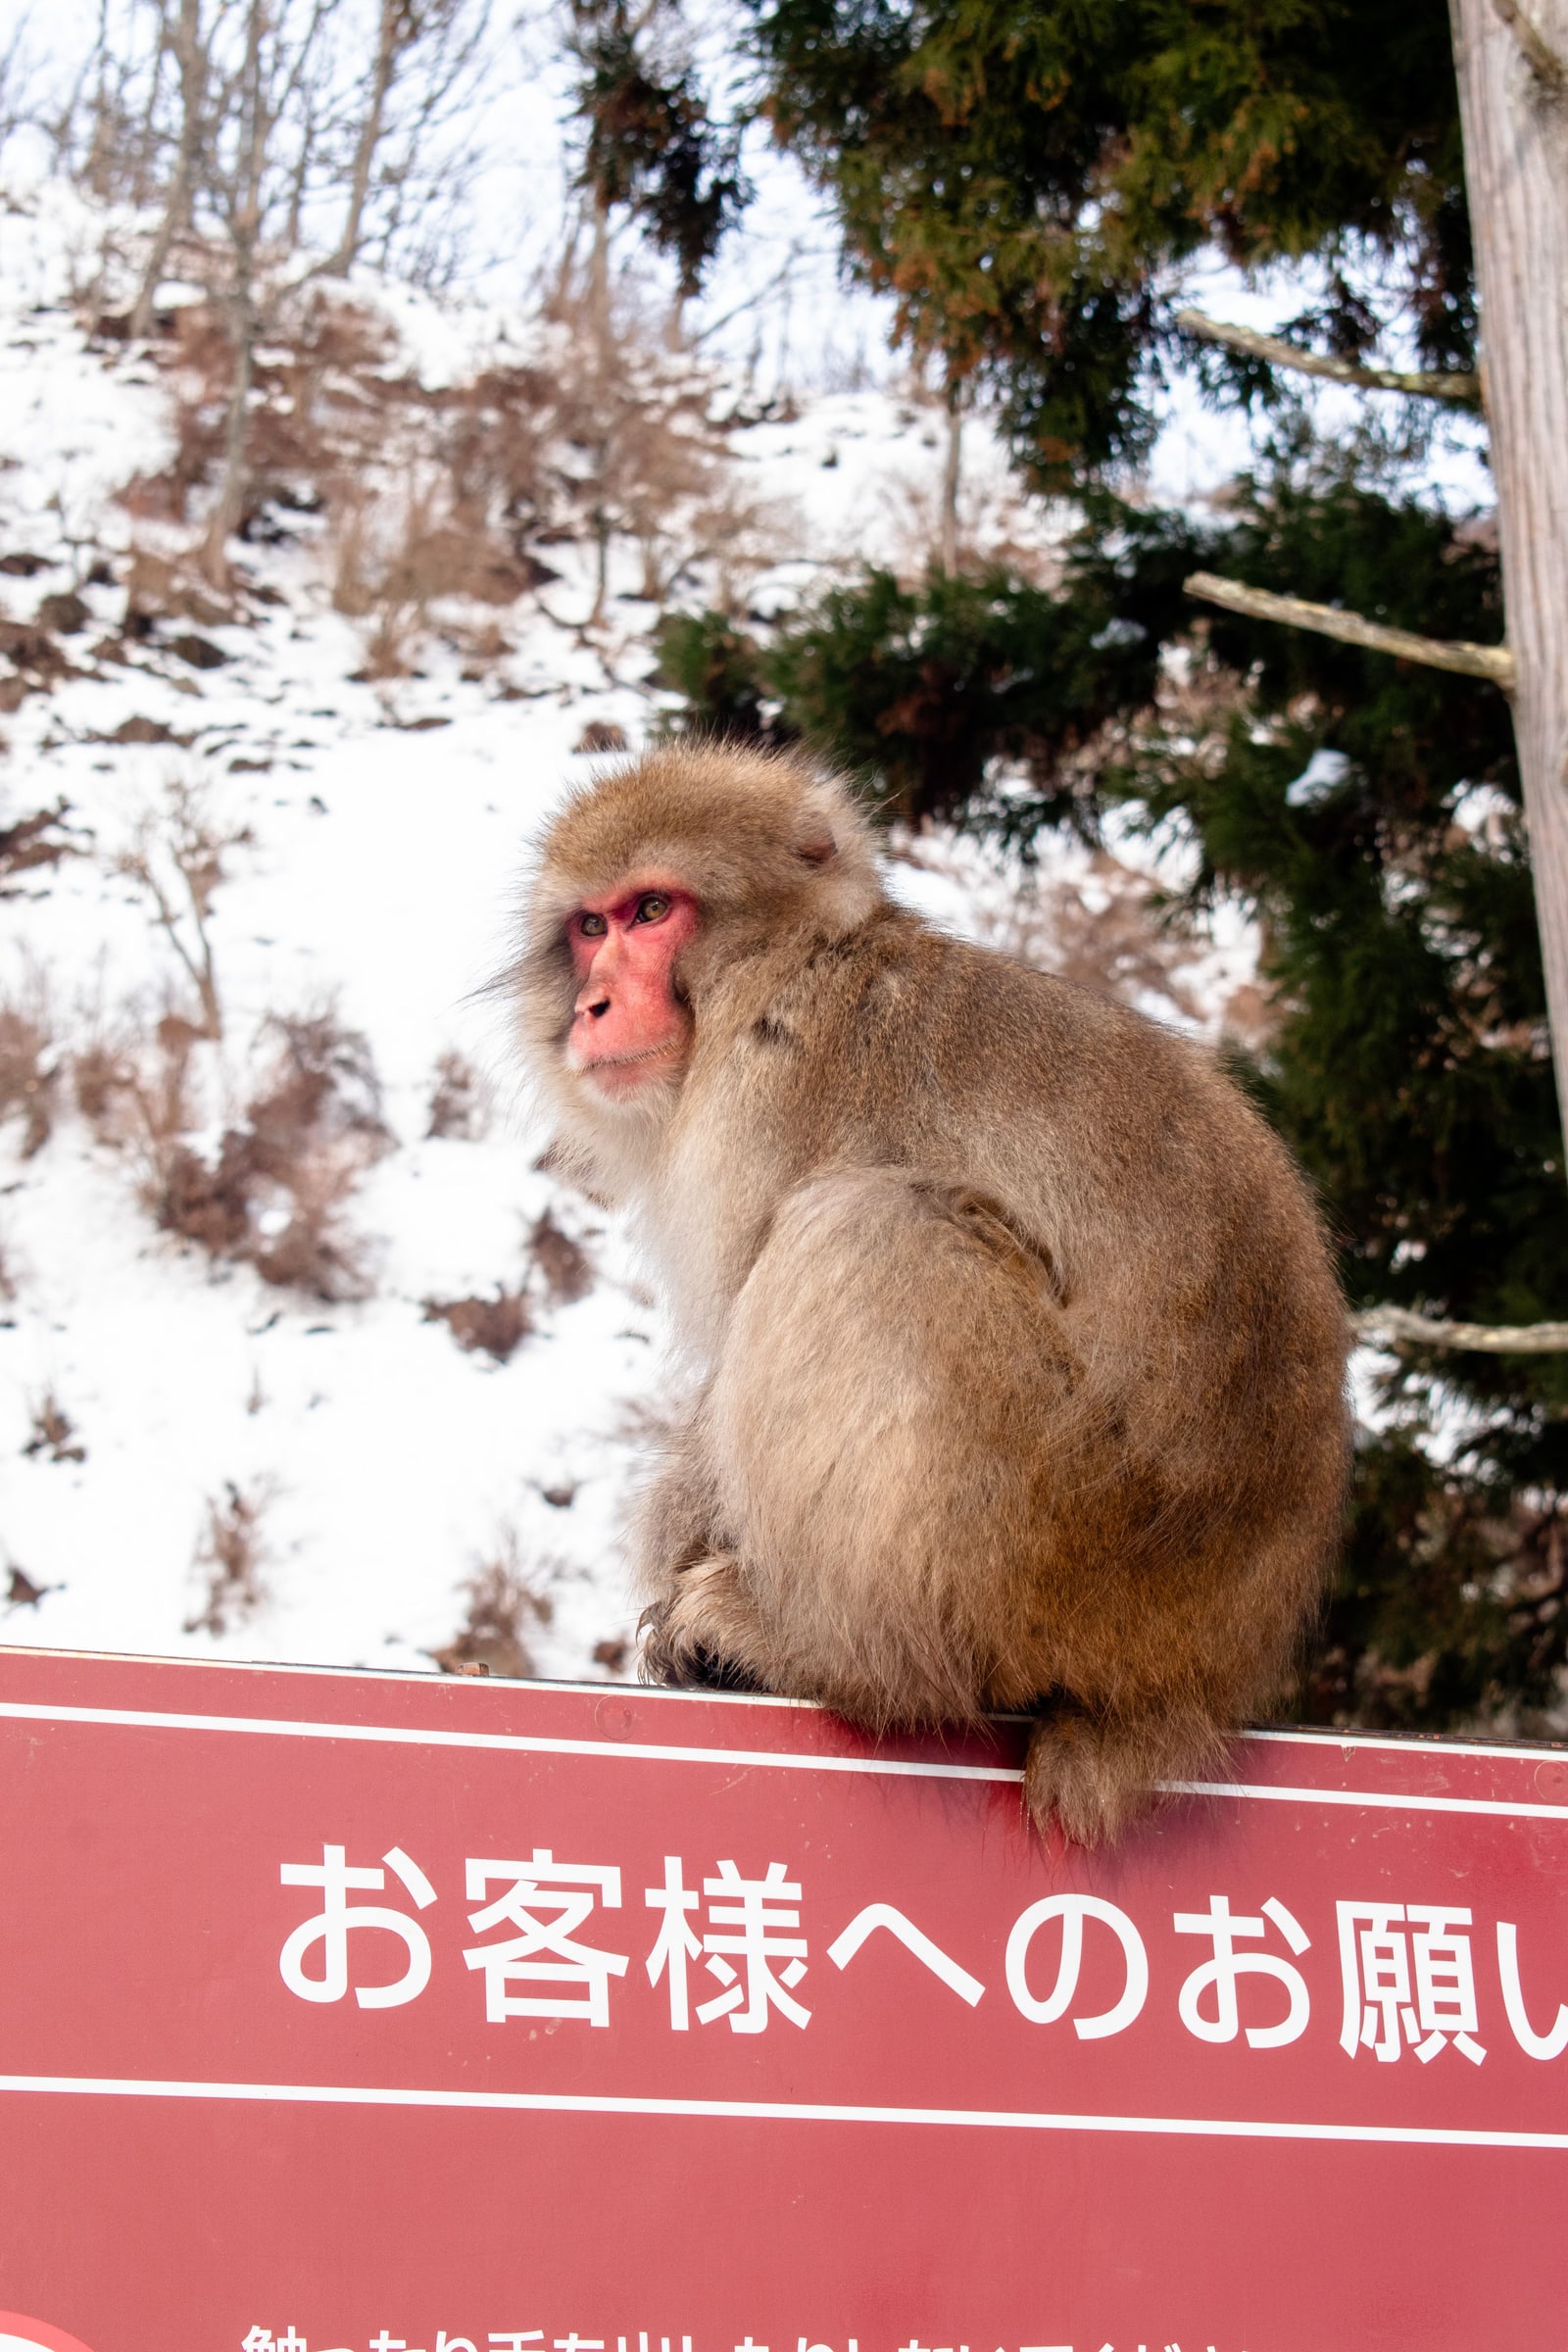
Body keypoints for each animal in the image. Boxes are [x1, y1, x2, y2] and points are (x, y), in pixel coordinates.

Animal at [516, 742, 1350, 1845]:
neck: (799, 957)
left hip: (1062, 1539)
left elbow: (744, 1315)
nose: (593, 1005)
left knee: (866, 1230)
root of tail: (1201, 1675)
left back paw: (830, 1650)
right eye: (590, 927)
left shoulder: (770, 1077)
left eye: (652, 911)